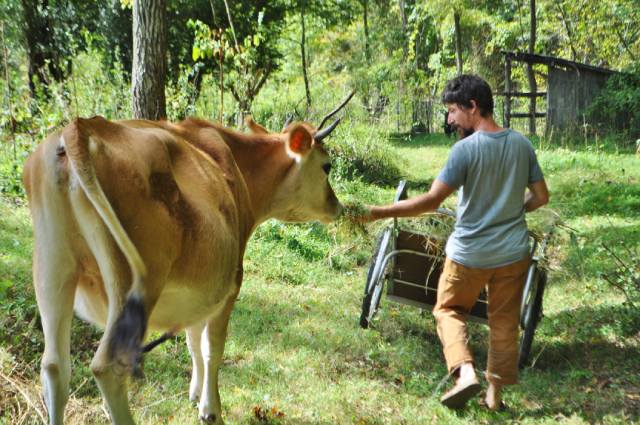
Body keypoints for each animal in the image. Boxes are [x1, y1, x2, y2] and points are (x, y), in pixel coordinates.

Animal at [22, 108, 348, 420]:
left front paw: (195, 392)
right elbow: (212, 347)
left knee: (54, 367)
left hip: (53, 269)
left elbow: (192, 339)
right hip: (130, 280)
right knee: (108, 367)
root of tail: (80, 128)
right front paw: (210, 408)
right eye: (327, 166)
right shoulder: (231, 285)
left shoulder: (201, 290)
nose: (338, 206)